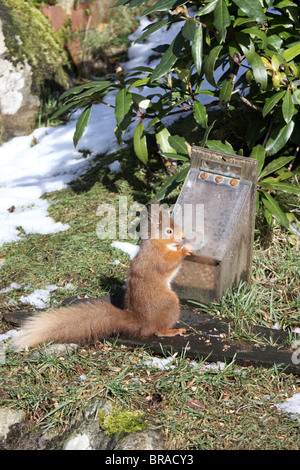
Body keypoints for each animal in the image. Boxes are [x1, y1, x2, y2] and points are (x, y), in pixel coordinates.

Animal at [12, 205, 192, 348]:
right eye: (169, 231)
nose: (183, 237)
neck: (156, 243)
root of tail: (142, 322)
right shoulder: (157, 258)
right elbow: (169, 263)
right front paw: (184, 249)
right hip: (169, 304)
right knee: (158, 330)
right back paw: (174, 330)